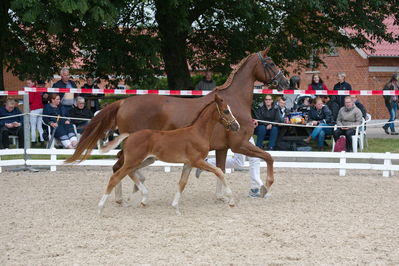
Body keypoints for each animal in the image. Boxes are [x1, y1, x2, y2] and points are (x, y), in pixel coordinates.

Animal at [97, 94, 241, 215]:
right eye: (226, 111)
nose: (237, 126)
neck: (198, 133)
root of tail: (130, 136)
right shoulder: (197, 161)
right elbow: (219, 171)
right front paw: (231, 201)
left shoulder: (188, 163)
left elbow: (182, 183)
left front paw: (175, 207)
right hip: (134, 161)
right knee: (115, 177)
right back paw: (101, 208)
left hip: (146, 160)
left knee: (129, 173)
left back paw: (142, 197)